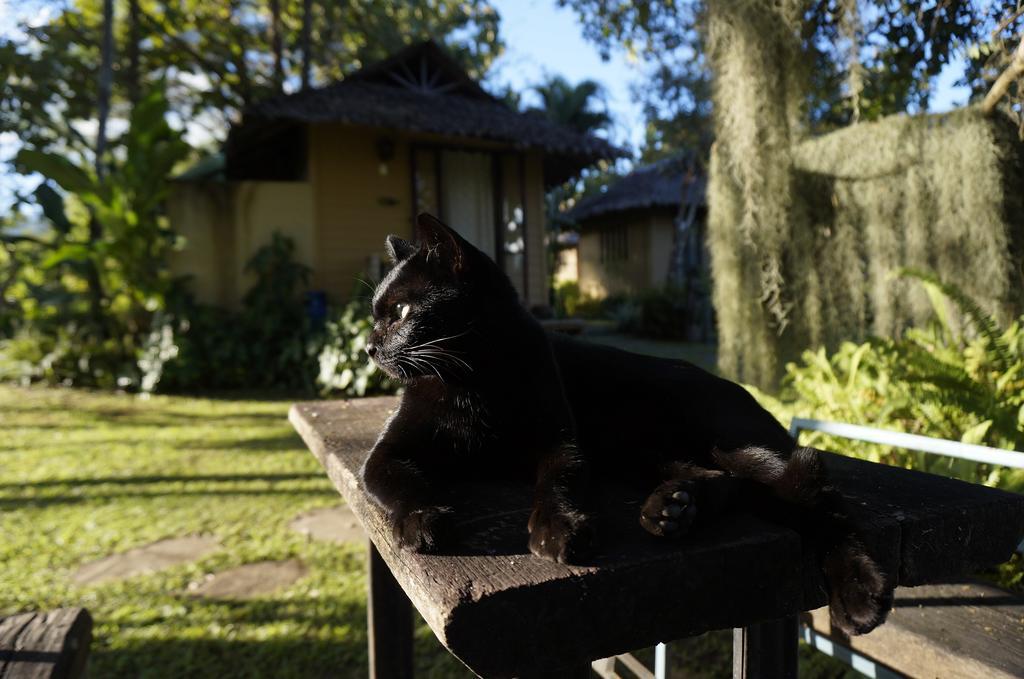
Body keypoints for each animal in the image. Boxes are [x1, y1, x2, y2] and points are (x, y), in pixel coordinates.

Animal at [364, 214, 892, 639]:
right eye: (375, 315)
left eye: (401, 312)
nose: (369, 346)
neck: (473, 381)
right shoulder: (389, 451)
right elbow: (396, 483)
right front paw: (423, 522)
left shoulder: (563, 445)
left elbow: (556, 484)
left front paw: (558, 530)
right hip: (642, 455)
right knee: (725, 481)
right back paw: (673, 509)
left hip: (726, 443)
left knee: (814, 491)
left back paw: (860, 594)